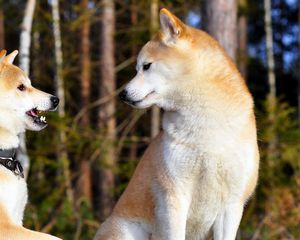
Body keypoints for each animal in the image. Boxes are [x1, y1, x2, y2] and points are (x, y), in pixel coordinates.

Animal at [94, 7, 258, 240]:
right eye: (137, 68)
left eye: (146, 66)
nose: (122, 95)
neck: (207, 131)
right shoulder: (174, 195)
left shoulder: (231, 204)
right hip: (126, 231)